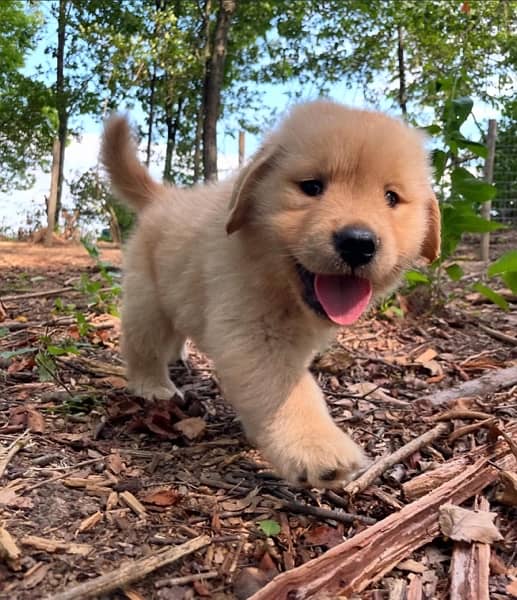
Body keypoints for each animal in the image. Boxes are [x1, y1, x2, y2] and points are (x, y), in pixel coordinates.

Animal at [102, 101, 440, 490]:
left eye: (391, 197)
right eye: (311, 187)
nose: (358, 243)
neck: (281, 285)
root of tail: (165, 197)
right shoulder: (253, 333)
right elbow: (287, 390)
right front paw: (316, 446)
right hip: (148, 299)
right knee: (143, 343)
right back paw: (153, 384)